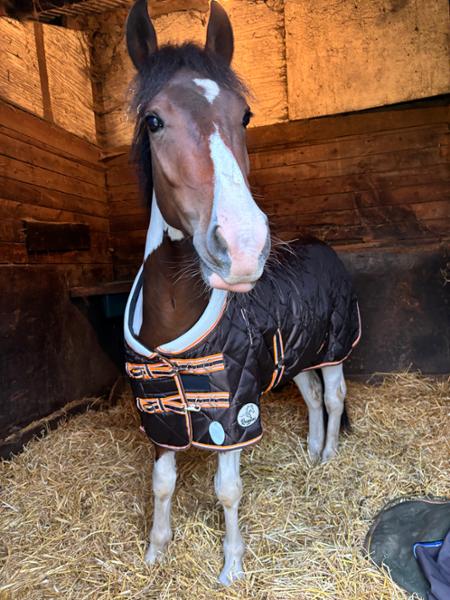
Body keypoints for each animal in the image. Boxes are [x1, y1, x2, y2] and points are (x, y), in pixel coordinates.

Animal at [124, 0, 362, 584]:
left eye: (246, 117)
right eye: (153, 120)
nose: (244, 244)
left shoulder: (233, 412)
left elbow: (227, 489)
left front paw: (231, 567)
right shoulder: (160, 413)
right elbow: (162, 484)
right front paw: (155, 553)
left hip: (334, 350)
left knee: (334, 394)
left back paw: (328, 460)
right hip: (295, 358)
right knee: (314, 398)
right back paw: (312, 450)